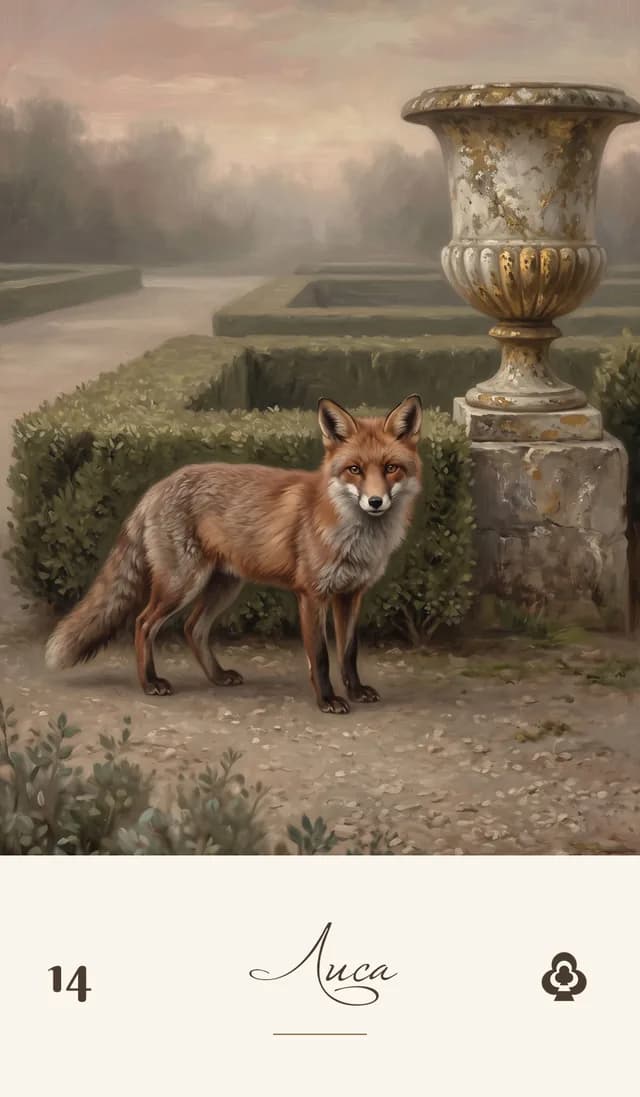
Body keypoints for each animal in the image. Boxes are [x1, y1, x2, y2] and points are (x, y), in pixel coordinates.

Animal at [45, 393, 423, 713]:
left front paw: (355, 691)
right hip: (182, 584)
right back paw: (150, 682)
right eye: (354, 469)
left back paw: (217, 676)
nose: (375, 501)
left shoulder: (350, 594)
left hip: (223, 586)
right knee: (143, 623)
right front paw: (328, 700)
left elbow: (348, 653)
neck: (355, 537)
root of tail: (157, 486)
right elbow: (320, 656)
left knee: (193, 628)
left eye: (391, 468)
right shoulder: (312, 594)